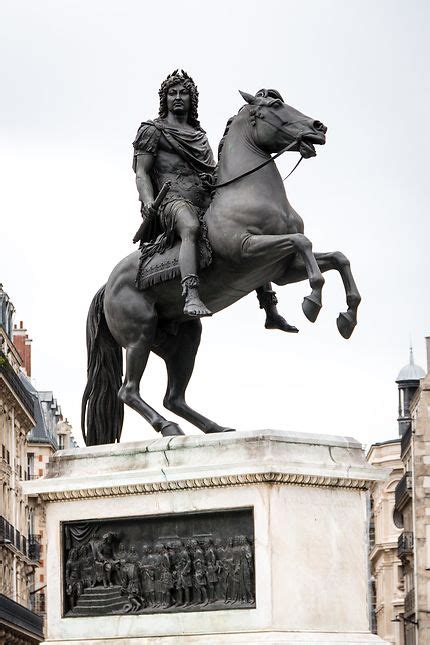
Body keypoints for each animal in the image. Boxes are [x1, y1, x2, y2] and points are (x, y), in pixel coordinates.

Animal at [80, 89, 360, 442]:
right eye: (276, 106)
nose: (318, 127)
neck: (250, 192)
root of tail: (107, 287)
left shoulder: (282, 270)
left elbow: (337, 257)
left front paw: (347, 316)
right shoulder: (248, 250)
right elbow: (302, 242)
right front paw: (312, 303)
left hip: (184, 339)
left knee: (173, 397)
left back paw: (215, 428)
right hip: (138, 336)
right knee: (128, 391)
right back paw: (169, 427)